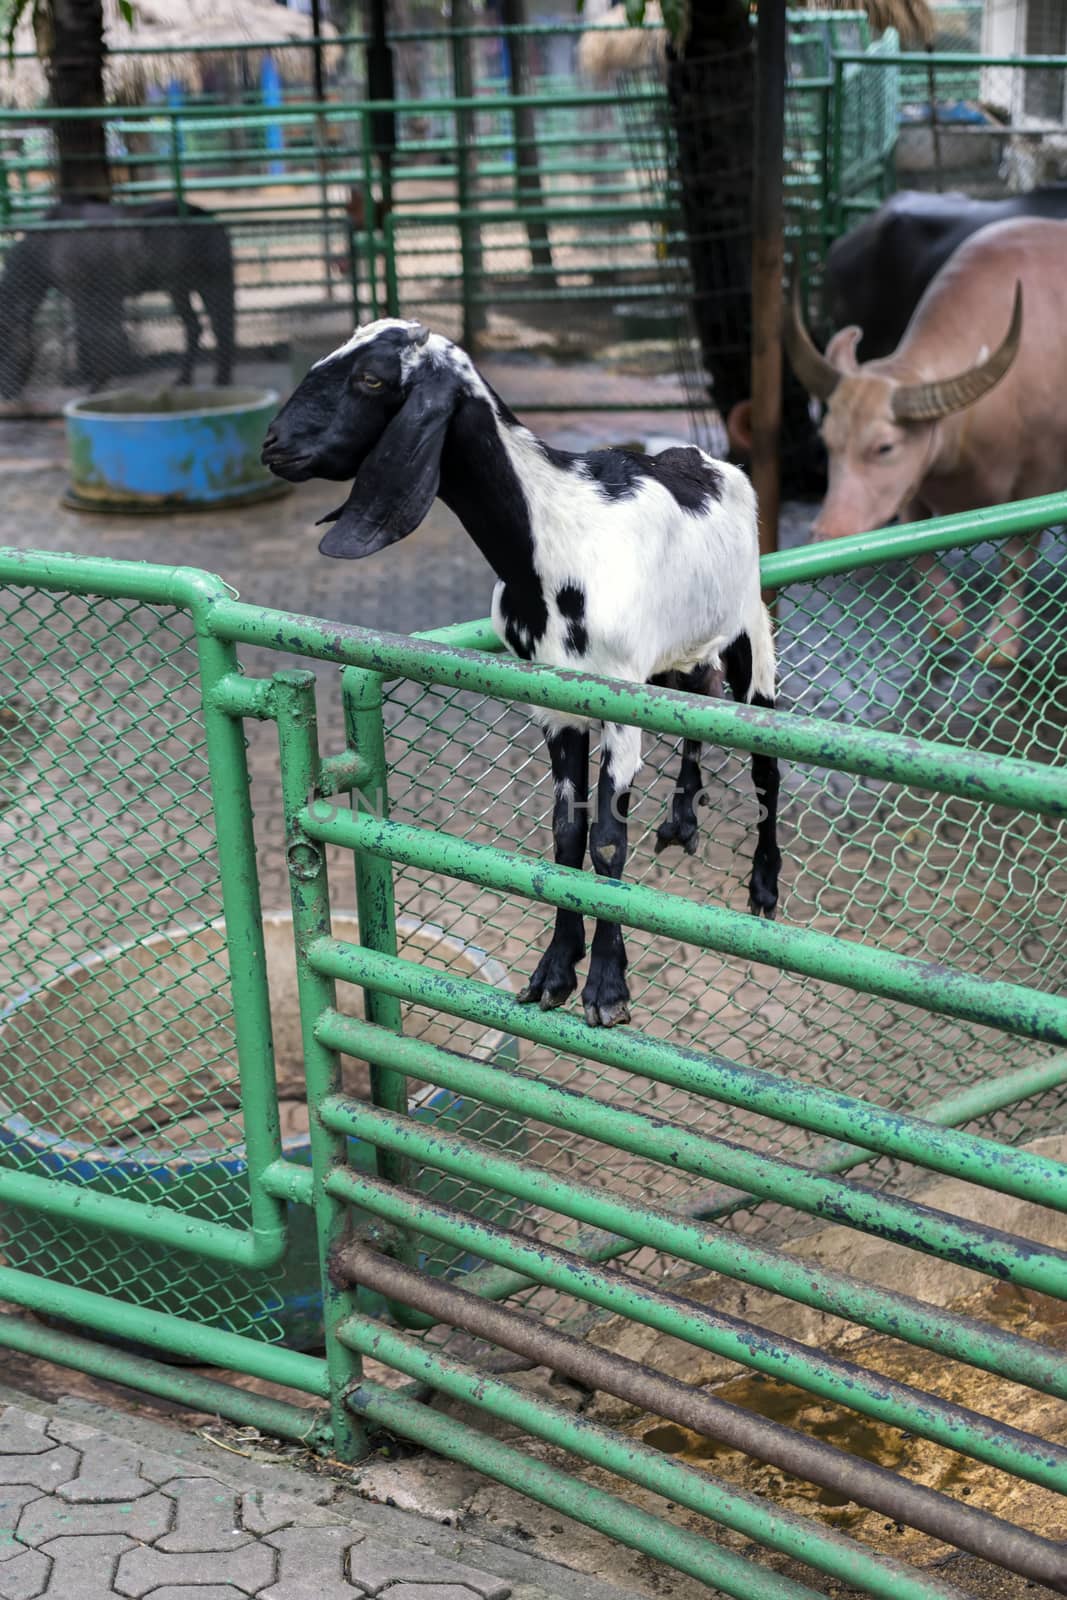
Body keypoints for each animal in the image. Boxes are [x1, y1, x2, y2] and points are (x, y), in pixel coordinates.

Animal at [0, 200, 233, 400]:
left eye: (5, 344)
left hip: (187, 286)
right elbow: (104, 332)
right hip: (202, 284)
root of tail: (207, 218)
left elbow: (90, 333)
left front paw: (96, 384)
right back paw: (199, 379)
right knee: (209, 327)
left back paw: (208, 379)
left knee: (208, 327)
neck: (47, 245)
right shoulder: (100, 296)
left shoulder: (80, 292)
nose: (6, 393)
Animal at [262, 318, 780, 1030]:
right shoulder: (553, 705)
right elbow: (566, 837)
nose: (274, 444)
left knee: (764, 760)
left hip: (749, 633)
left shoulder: (618, 704)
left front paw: (607, 988)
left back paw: (764, 889)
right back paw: (681, 822)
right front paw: (554, 973)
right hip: (680, 657)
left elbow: (606, 842)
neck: (556, 541)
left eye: (371, 378)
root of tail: (710, 460)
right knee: (698, 702)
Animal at [783, 216, 1067, 665]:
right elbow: (914, 542)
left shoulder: (1040, 482)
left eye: (885, 447)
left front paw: (999, 643)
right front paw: (946, 621)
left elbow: (1016, 559)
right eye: (827, 441)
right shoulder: (914, 484)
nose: (827, 535)